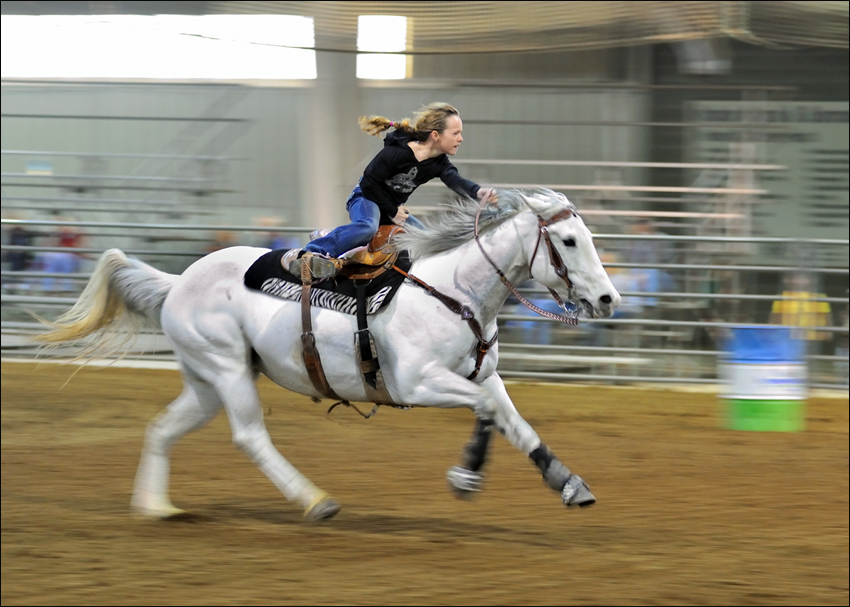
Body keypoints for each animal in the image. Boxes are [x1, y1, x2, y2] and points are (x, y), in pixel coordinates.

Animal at [34, 189, 616, 524]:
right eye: (567, 240)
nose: (609, 299)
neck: (454, 291)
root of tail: (180, 282)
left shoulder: (485, 376)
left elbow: (513, 422)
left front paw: (569, 484)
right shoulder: (419, 383)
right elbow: (489, 413)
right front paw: (466, 477)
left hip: (205, 381)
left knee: (162, 428)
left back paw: (155, 507)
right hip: (226, 370)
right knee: (250, 436)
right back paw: (315, 500)